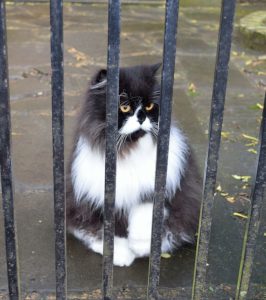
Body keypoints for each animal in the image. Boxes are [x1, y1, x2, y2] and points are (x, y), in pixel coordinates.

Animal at [66, 63, 202, 268]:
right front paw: (122, 255)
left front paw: (141, 246)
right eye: (124, 107)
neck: (128, 151)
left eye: (149, 106)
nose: (141, 116)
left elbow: (144, 215)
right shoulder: (91, 202)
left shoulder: (152, 190)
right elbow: (100, 232)